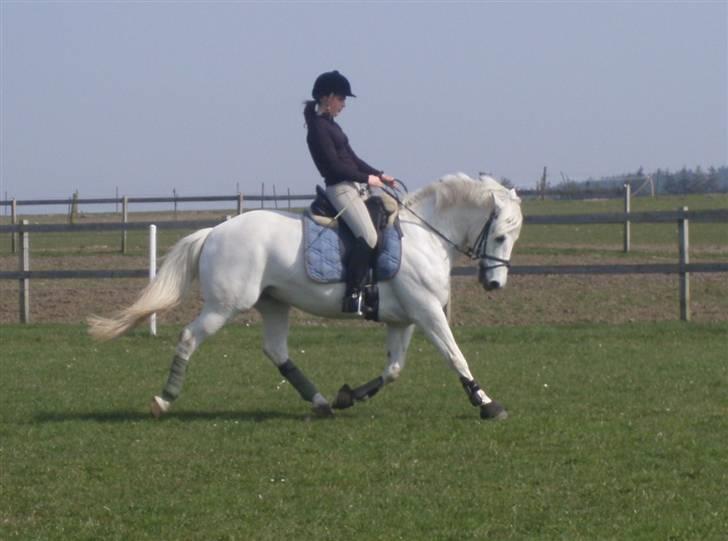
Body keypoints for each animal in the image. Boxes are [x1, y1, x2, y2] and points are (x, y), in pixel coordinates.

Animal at [88, 172, 524, 418]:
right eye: (501, 236)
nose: (495, 285)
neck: (425, 235)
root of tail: (214, 231)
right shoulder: (428, 312)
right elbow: (455, 356)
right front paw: (487, 403)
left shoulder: (404, 320)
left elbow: (393, 370)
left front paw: (348, 396)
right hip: (224, 306)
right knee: (189, 338)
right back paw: (164, 400)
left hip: (273, 303)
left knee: (277, 351)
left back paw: (321, 403)